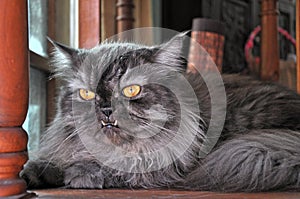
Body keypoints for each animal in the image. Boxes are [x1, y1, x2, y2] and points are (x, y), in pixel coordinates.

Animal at [21, 33, 300, 192]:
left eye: (132, 89)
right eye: (87, 94)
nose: (107, 110)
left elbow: (124, 168)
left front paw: (82, 174)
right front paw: (33, 173)